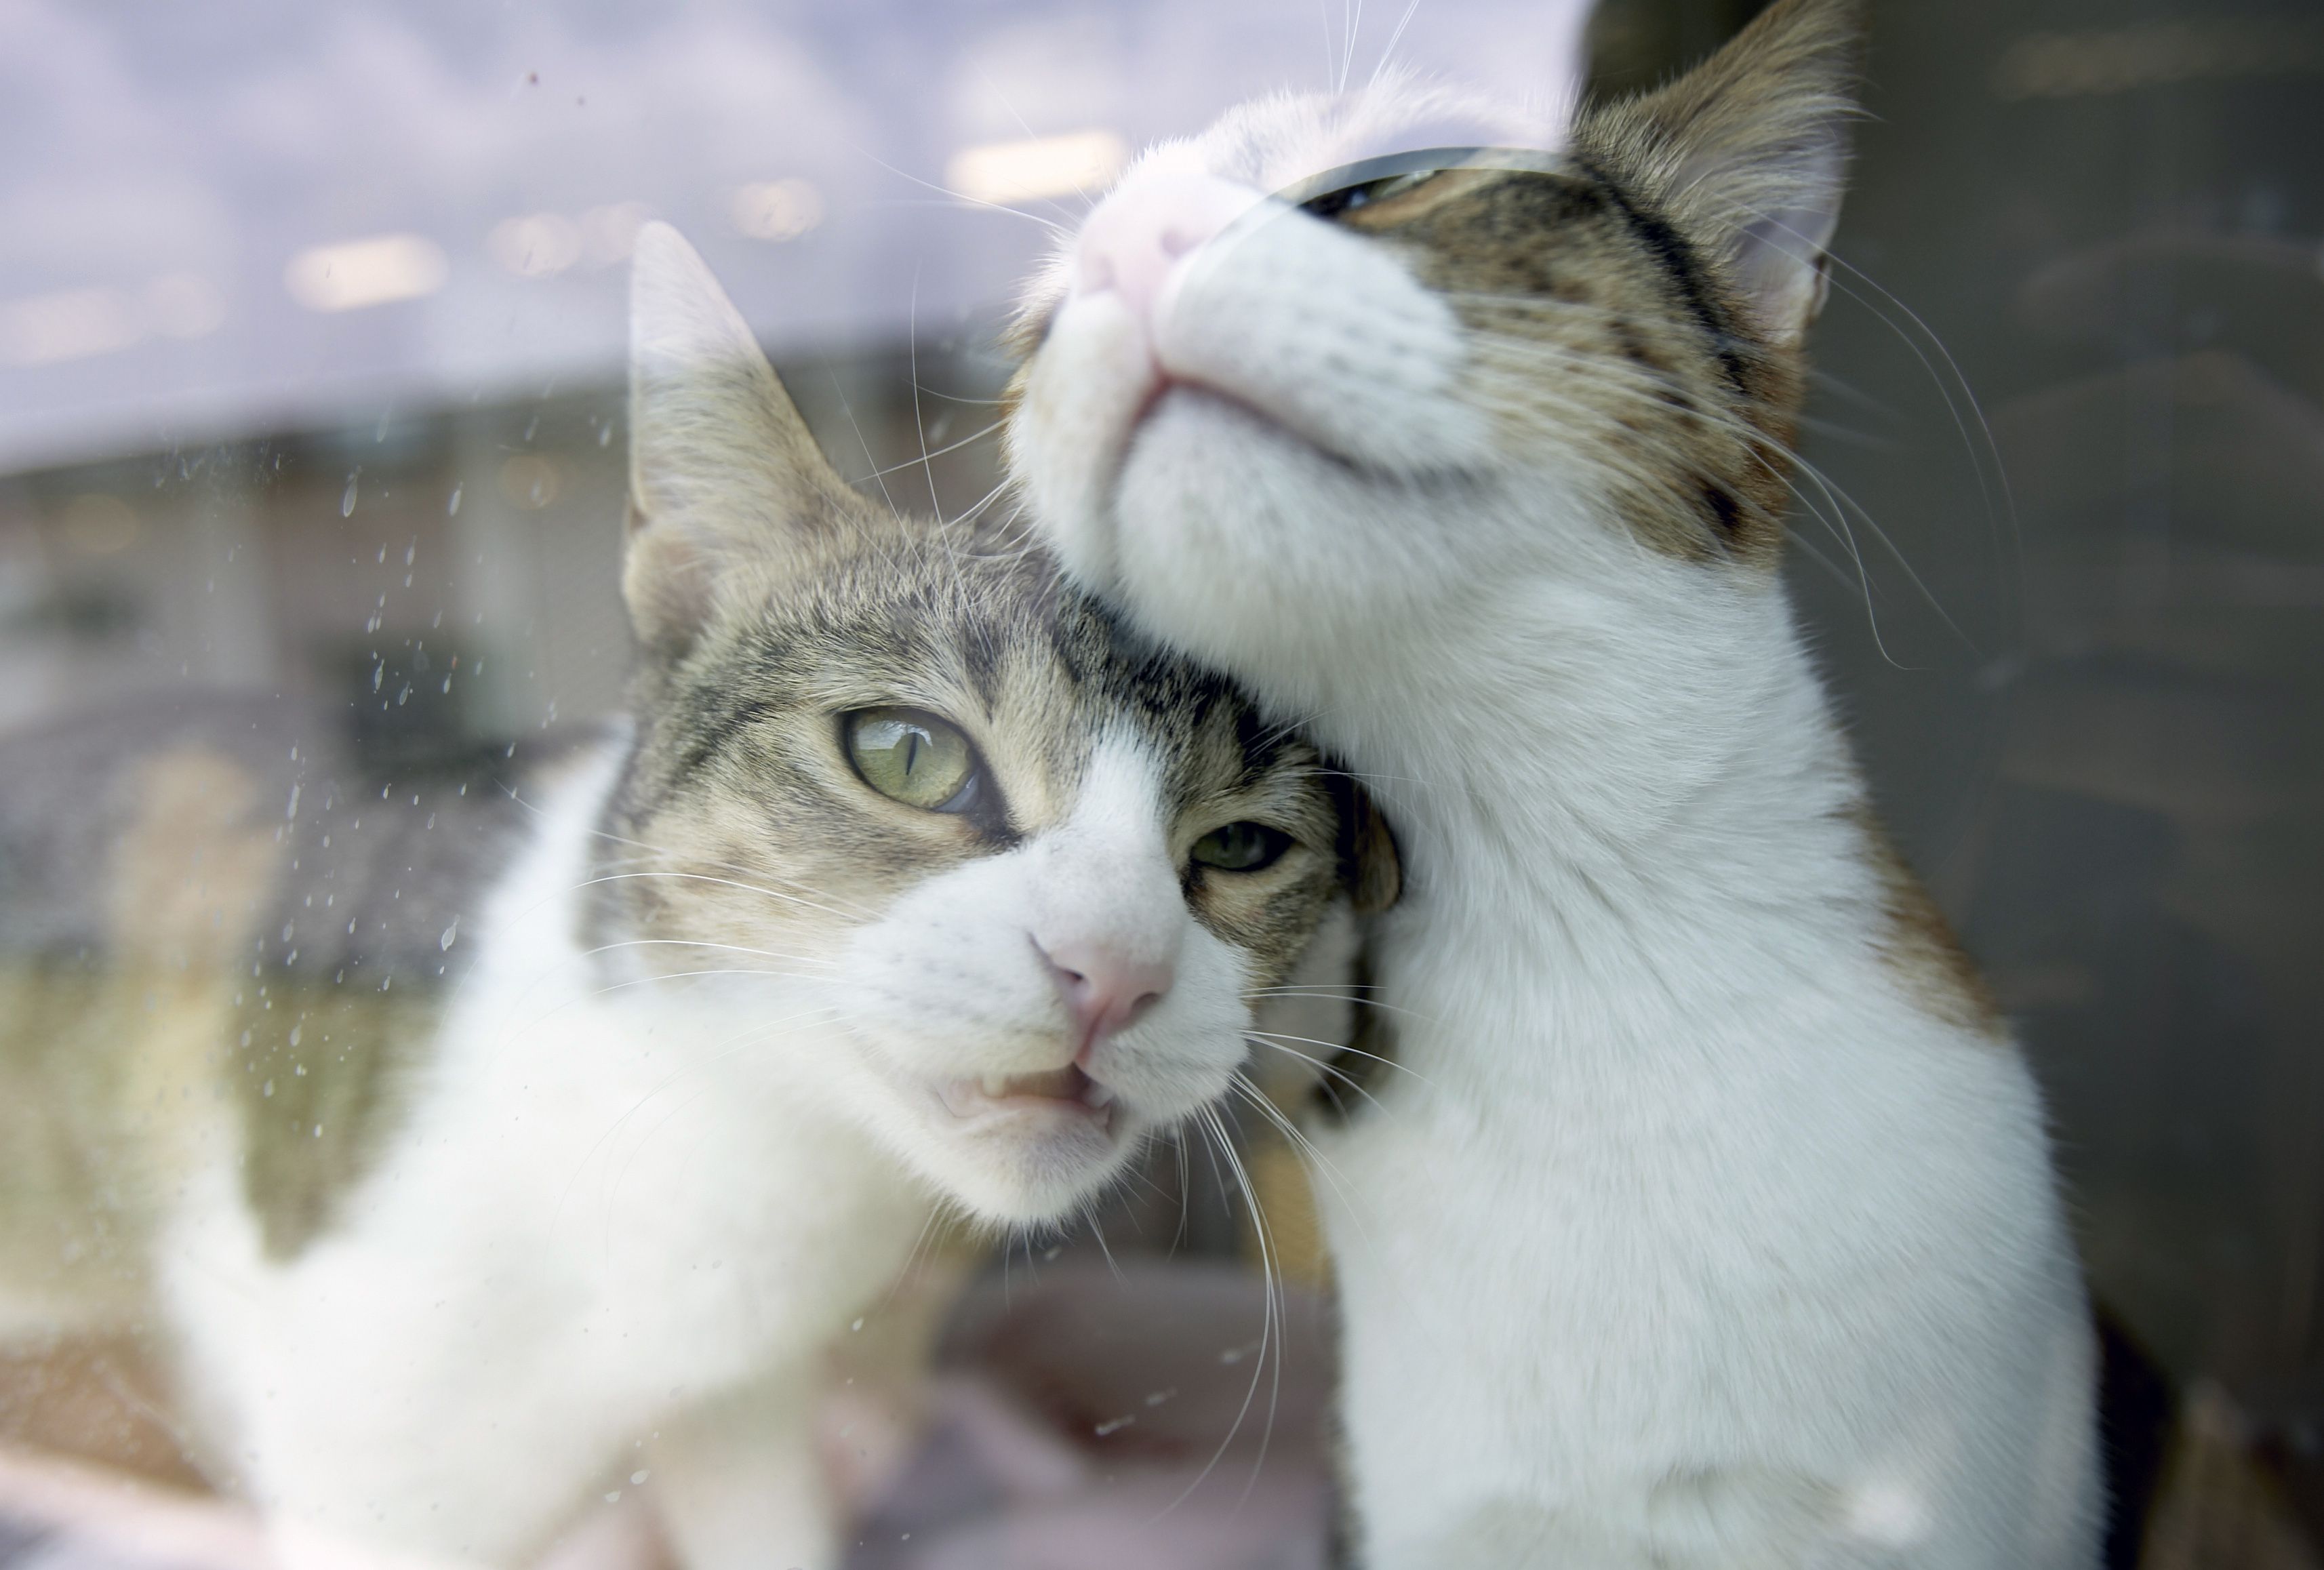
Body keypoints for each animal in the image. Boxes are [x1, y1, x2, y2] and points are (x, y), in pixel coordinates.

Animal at [0, 220, 1385, 1570]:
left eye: (1244, 846)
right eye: (906, 753)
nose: (1115, 971)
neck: (731, 1132)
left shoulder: (741, 1404)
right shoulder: (370, 1471)